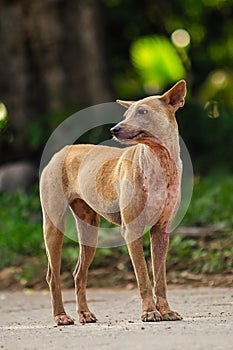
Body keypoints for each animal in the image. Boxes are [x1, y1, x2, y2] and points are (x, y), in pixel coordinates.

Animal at [39, 79, 186, 326]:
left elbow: (160, 279)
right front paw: (149, 312)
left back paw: (84, 313)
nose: (114, 129)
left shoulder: (161, 231)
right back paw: (61, 316)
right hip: (53, 226)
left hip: (90, 230)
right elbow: (143, 277)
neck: (158, 159)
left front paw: (165, 311)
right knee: (52, 275)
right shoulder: (132, 230)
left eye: (143, 112)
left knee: (79, 273)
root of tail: (62, 151)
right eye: (126, 114)